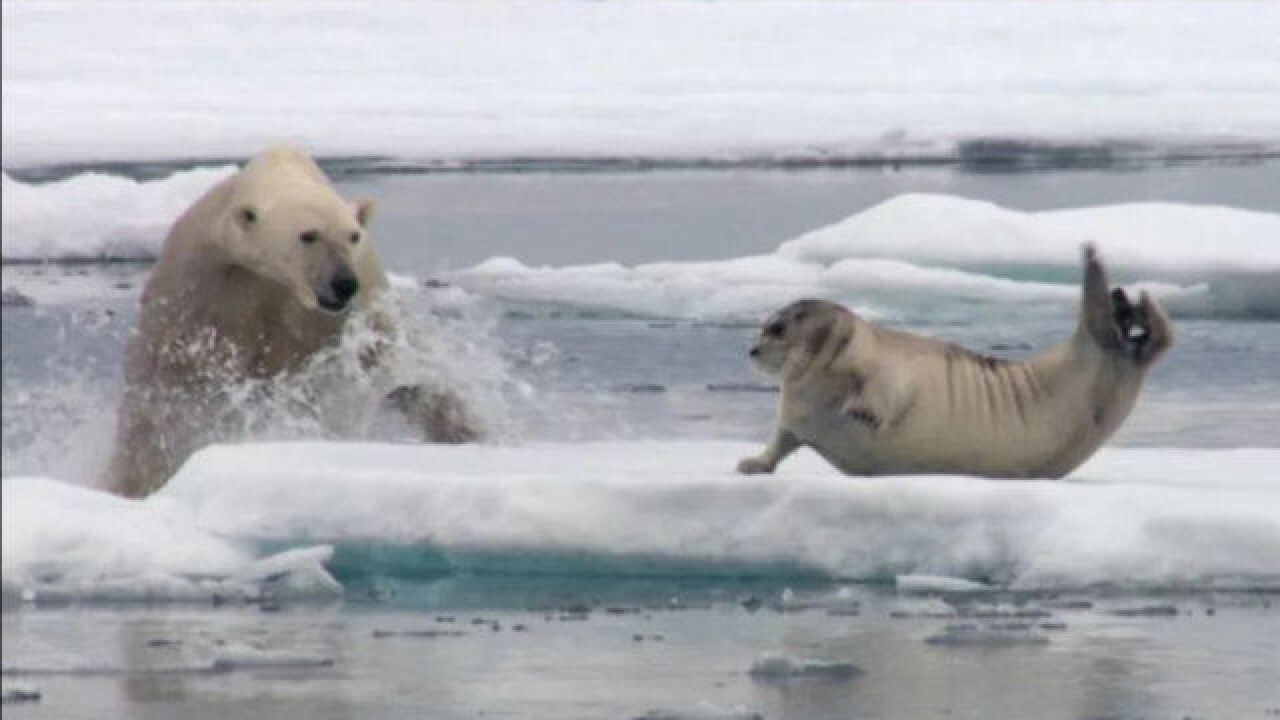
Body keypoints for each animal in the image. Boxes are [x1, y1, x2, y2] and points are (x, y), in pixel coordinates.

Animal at [106, 148, 481, 497]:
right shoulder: (198, 285)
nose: (344, 283)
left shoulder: (345, 311)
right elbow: (161, 388)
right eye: (308, 235)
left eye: (353, 235)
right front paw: (135, 482)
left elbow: (394, 362)